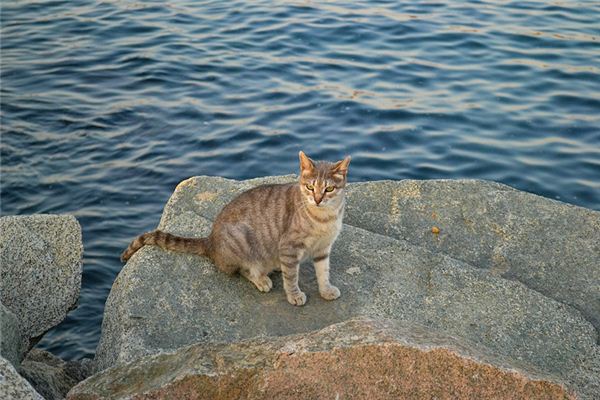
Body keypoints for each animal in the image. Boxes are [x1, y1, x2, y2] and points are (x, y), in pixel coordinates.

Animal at [119, 151, 350, 306]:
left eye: (329, 188)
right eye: (310, 187)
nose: (318, 199)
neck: (324, 218)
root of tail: (210, 241)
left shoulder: (323, 249)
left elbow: (323, 272)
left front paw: (326, 290)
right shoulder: (289, 247)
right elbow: (292, 276)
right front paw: (294, 294)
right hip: (244, 243)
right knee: (244, 270)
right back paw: (261, 279)